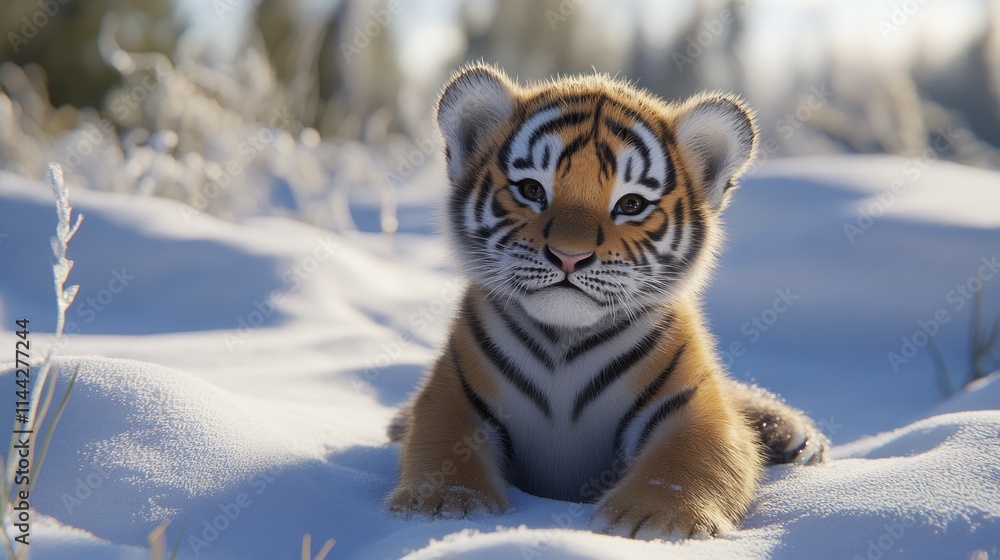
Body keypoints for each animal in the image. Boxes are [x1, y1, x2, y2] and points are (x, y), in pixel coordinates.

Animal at [386, 64, 828, 539]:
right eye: (531, 190)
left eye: (630, 204)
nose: (569, 255)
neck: (563, 344)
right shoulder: (455, 391)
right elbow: (443, 445)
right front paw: (445, 507)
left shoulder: (689, 402)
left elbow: (688, 458)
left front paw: (655, 521)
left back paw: (791, 434)